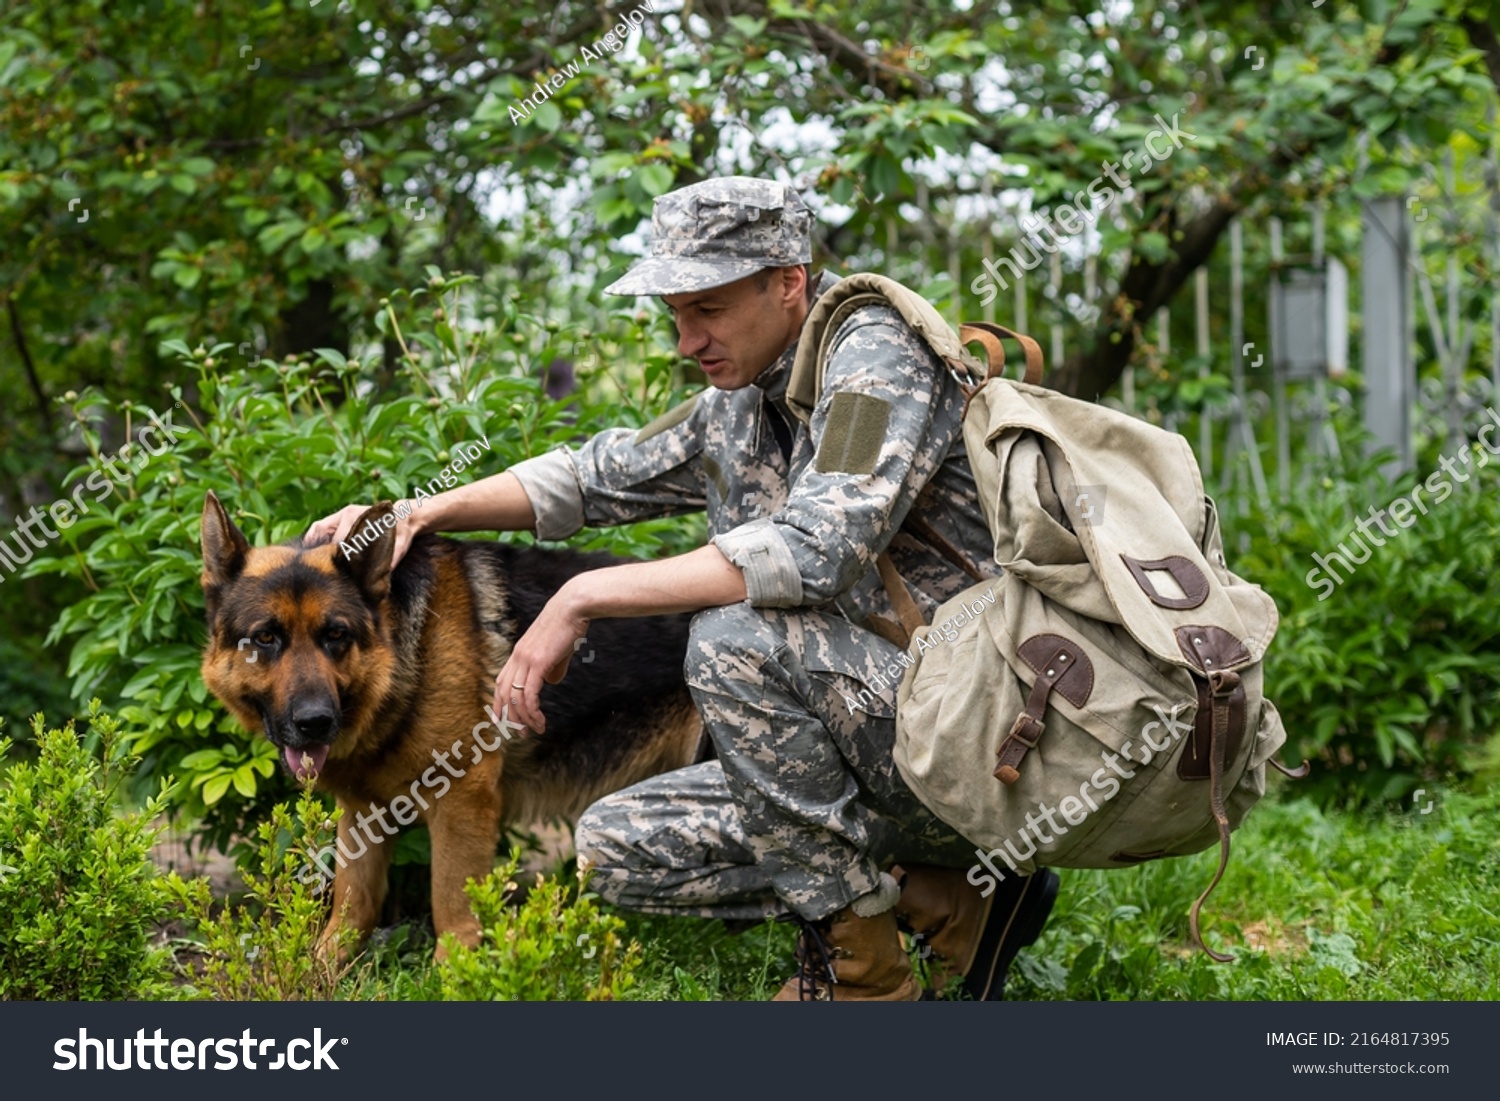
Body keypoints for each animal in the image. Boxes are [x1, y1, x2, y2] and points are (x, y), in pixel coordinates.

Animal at [198, 495, 702, 960]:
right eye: (265, 638)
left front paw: (457, 976)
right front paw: (322, 972)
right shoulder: (360, 810)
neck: (407, 658)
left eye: (336, 635)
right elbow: (349, 908)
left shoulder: (464, 801)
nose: (315, 723)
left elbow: (452, 911)